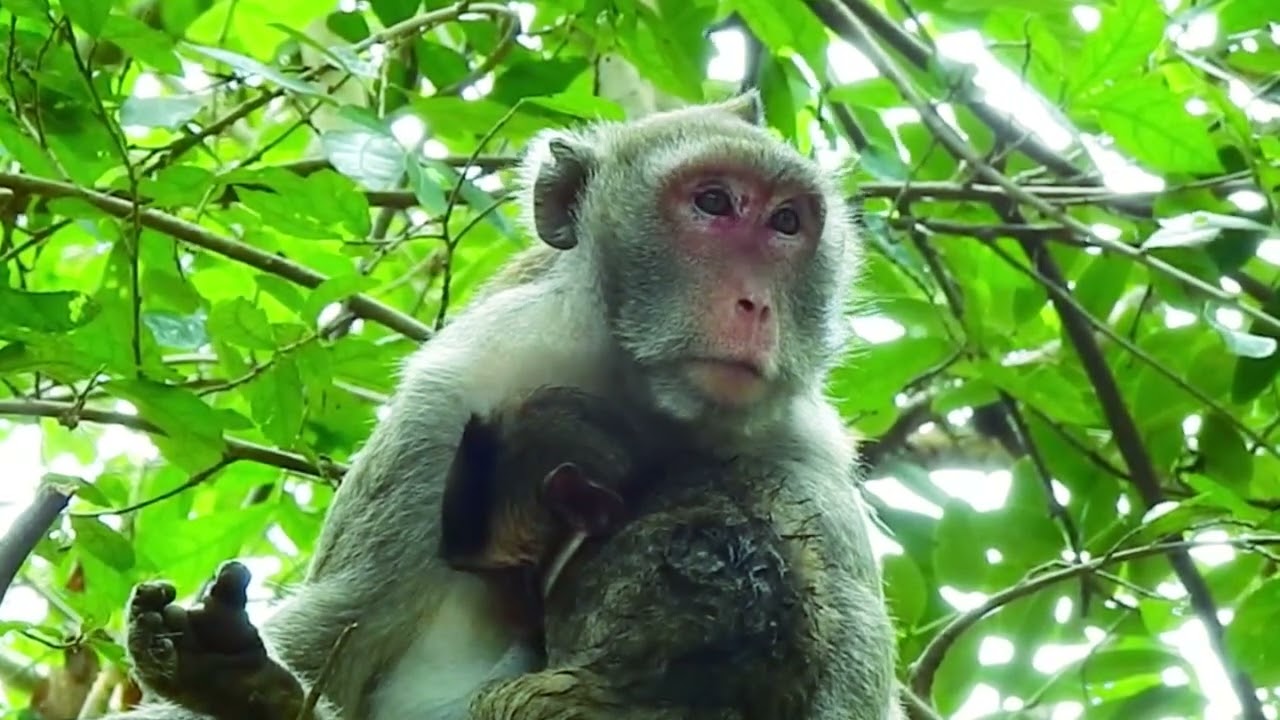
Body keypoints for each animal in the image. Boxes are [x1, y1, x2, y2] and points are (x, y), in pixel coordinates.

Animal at [107, 89, 902, 720]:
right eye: (713, 201)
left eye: (788, 223)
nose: (754, 305)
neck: (641, 401)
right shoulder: (445, 406)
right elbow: (330, 630)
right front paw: (247, 686)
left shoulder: (811, 478)